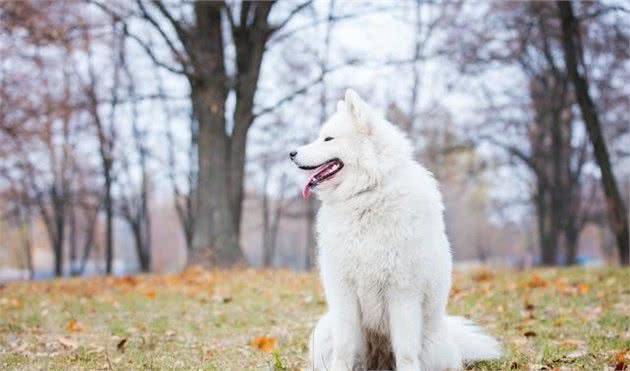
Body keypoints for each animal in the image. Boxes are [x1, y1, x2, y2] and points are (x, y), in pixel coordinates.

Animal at [292, 91, 504, 371]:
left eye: (328, 138)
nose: (291, 153)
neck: (368, 194)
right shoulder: (343, 291)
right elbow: (344, 347)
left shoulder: (402, 292)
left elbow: (405, 350)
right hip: (328, 329)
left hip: (431, 342)